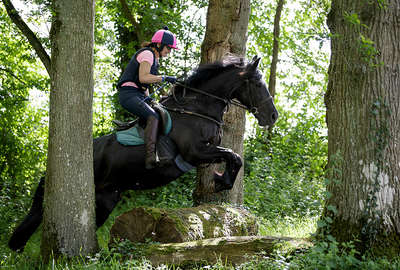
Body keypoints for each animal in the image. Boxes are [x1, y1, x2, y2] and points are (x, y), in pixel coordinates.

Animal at [8, 54, 278, 251]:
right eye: (257, 84)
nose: (273, 116)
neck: (196, 108)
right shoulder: (195, 153)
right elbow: (234, 156)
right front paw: (222, 181)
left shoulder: (205, 152)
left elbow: (234, 157)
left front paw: (220, 179)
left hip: (107, 198)